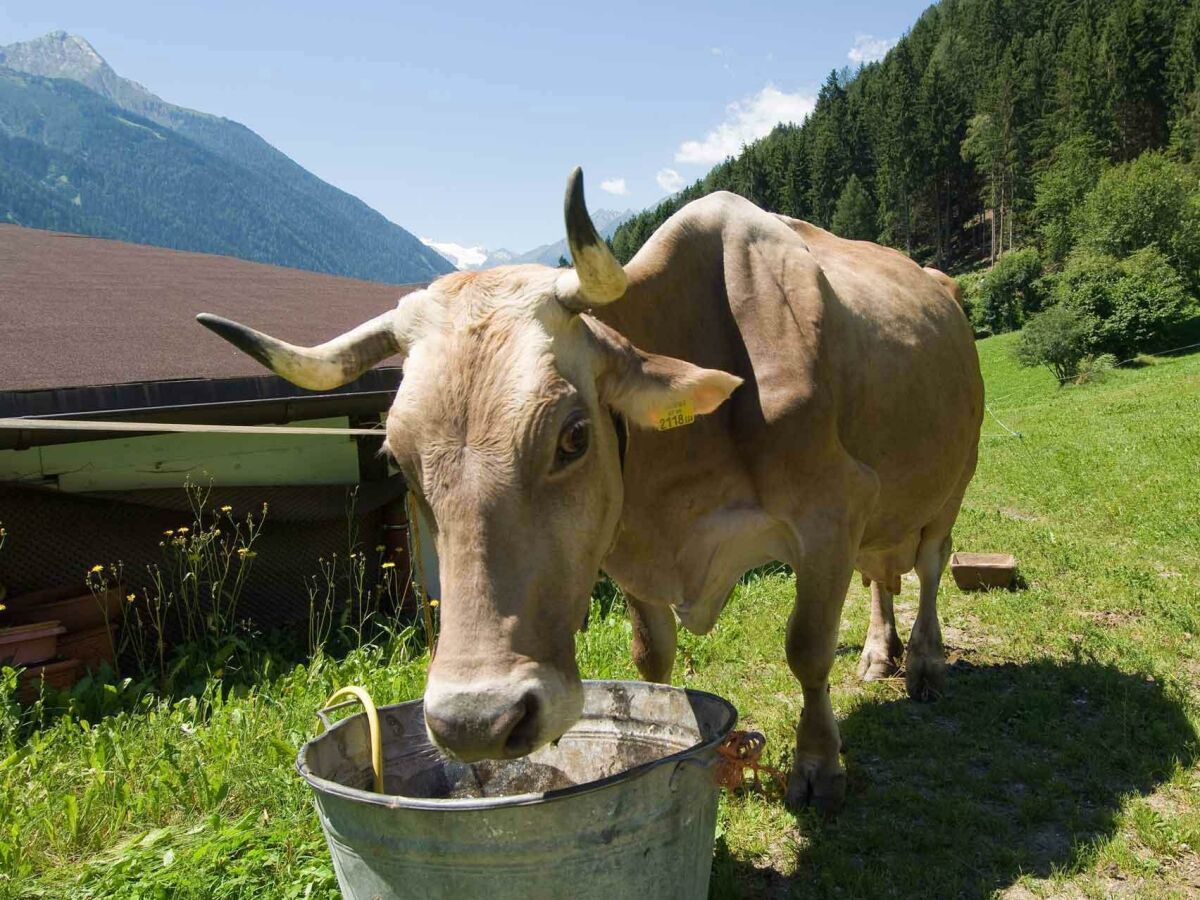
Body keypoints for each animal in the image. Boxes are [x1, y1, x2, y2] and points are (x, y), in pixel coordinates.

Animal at [199, 169, 984, 811]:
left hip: (950, 484)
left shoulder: (832, 511)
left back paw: (923, 662)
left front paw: (819, 767)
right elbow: (651, 658)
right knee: (882, 573)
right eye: (395, 456)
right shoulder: (630, 552)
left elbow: (807, 650)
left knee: (928, 565)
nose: (476, 722)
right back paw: (879, 653)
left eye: (574, 437)